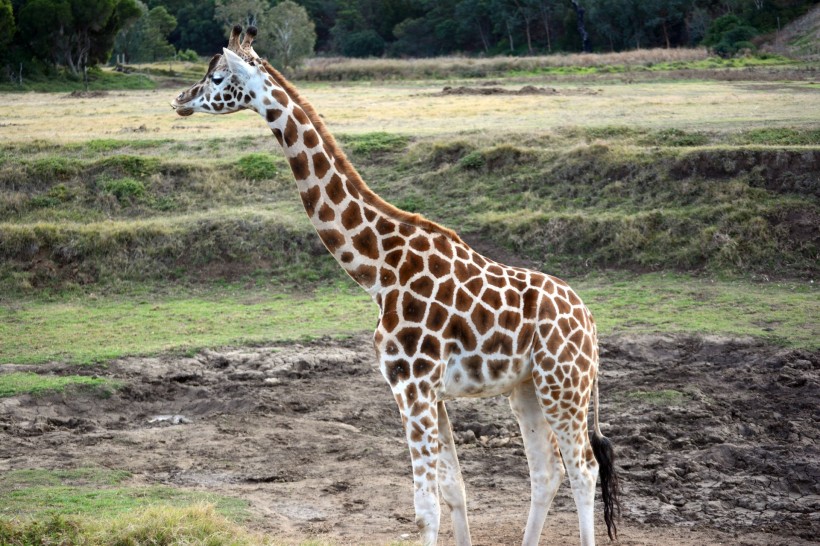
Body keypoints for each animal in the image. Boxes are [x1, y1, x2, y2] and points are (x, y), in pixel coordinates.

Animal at [173, 26, 620, 546]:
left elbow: (425, 507)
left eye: (217, 76)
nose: (179, 100)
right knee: (547, 471)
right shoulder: (433, 391)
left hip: (563, 383)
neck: (379, 270)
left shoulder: (412, 383)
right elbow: (454, 492)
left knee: (584, 469)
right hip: (526, 387)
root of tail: (590, 319)